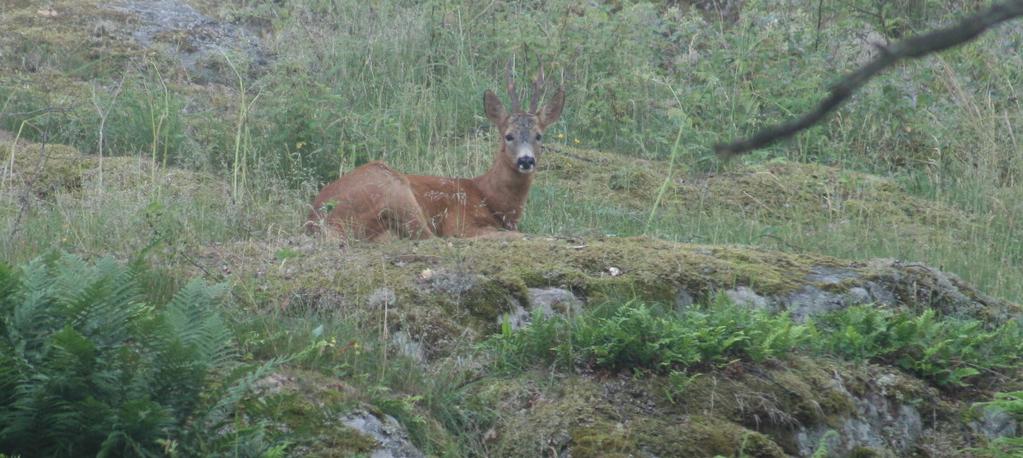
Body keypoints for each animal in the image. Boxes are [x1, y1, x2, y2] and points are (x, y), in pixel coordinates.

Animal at [302, 60, 564, 243]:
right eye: (508, 136)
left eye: (539, 136)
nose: (526, 160)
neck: (488, 197)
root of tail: (316, 221)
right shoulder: (459, 222)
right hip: (394, 190)